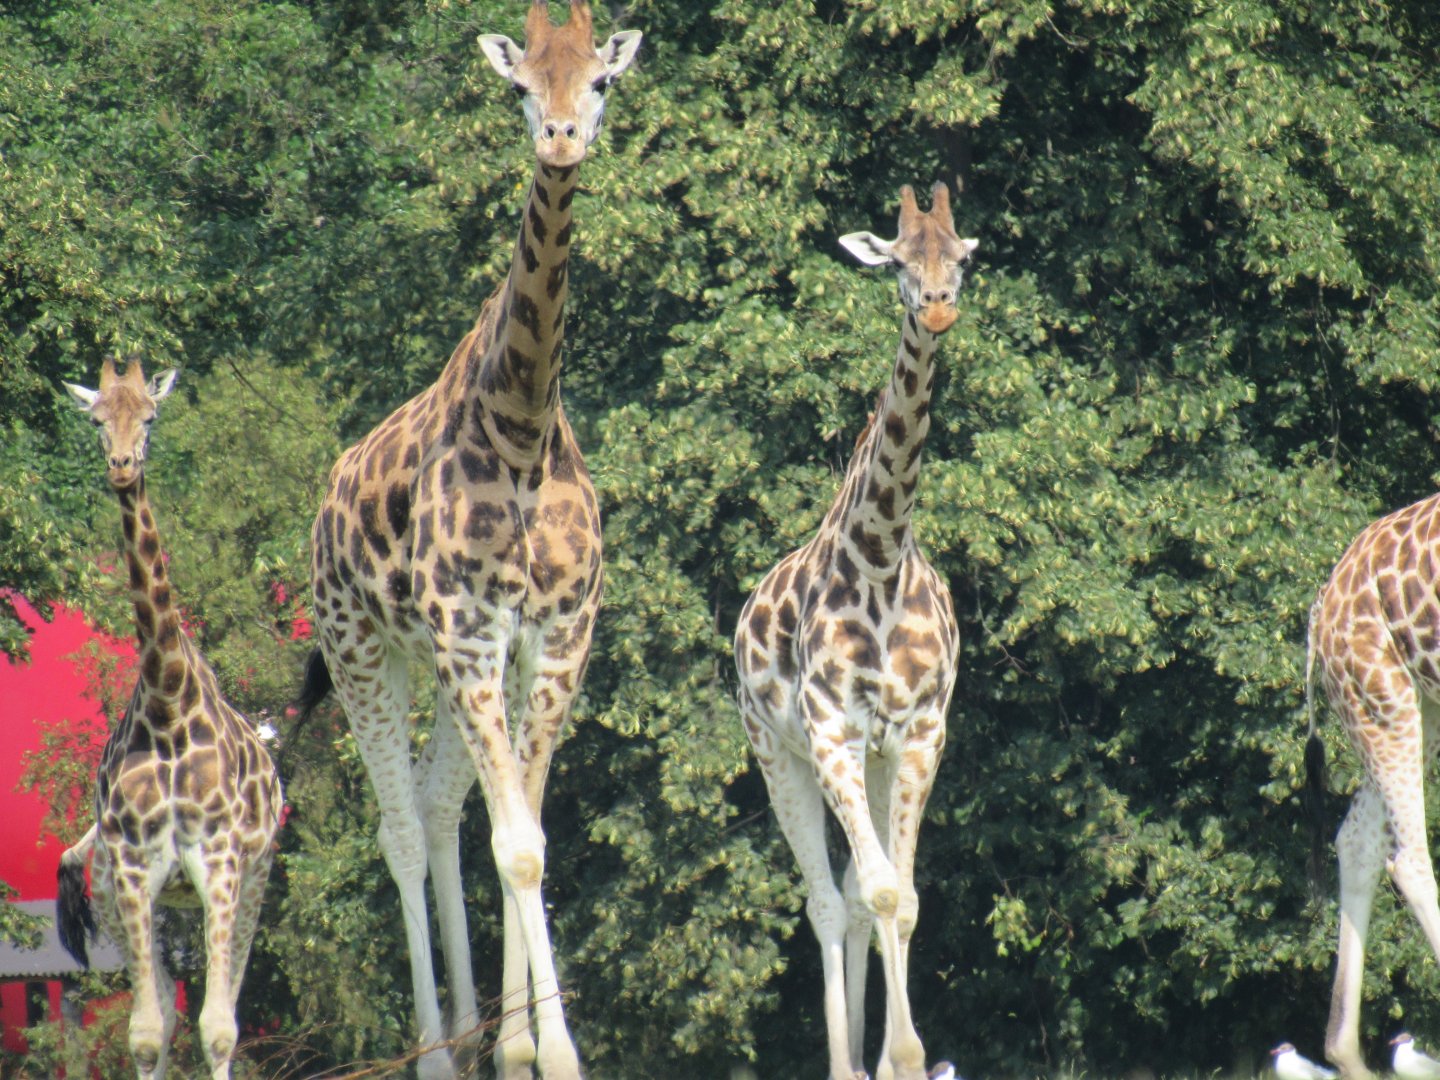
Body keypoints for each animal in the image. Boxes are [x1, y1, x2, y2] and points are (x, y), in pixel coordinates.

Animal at [54, 357, 283, 1080]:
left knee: (225, 1004)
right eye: (97, 419)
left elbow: (220, 1030)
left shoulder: (221, 864)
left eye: (151, 417)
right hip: (130, 898)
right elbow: (149, 1033)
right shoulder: (133, 873)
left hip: (252, 881)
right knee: (164, 1009)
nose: (123, 466)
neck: (169, 703)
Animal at [299, 4, 640, 1078]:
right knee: (402, 829)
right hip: (365, 649)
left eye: (600, 83)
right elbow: (517, 843)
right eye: (521, 87)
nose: (562, 140)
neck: (523, 427)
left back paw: (474, 1034)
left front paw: (530, 1049)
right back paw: (438, 1051)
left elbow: (523, 828)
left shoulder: (556, 636)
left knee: (444, 809)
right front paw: (554, 1053)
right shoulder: (468, 633)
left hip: (441, 666)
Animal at [734, 182, 977, 1080]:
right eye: (899, 261)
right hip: (776, 754)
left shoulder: (919, 731)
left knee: (856, 897)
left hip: (868, 760)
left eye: (960, 257)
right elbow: (872, 891)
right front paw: (894, 1055)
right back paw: (844, 1064)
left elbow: (900, 900)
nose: (936, 307)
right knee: (826, 901)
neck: (880, 556)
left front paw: (902, 1057)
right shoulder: (831, 732)